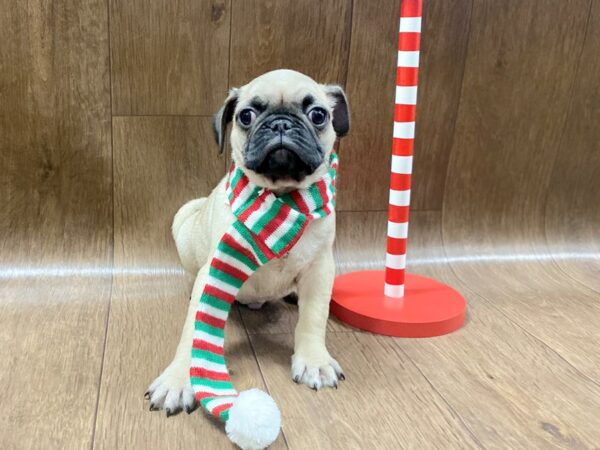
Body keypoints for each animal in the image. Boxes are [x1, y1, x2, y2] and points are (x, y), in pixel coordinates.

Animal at [147, 68, 350, 416]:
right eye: (246, 115)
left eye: (318, 114)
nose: (281, 123)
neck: (282, 199)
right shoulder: (217, 271)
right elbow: (194, 330)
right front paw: (179, 378)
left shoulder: (320, 270)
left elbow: (314, 318)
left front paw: (314, 361)